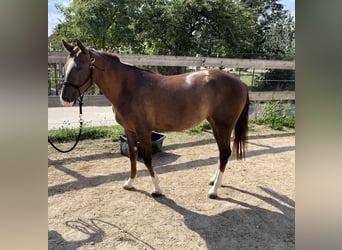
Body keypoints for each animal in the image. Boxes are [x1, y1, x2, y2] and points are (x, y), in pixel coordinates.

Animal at [60, 40, 248, 198]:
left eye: (80, 67)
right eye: (65, 66)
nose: (65, 99)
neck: (128, 88)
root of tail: (241, 83)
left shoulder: (144, 130)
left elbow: (148, 159)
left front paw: (157, 189)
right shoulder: (129, 130)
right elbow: (133, 157)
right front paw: (130, 183)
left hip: (224, 125)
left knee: (225, 153)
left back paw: (214, 190)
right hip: (216, 125)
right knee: (222, 153)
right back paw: (214, 181)